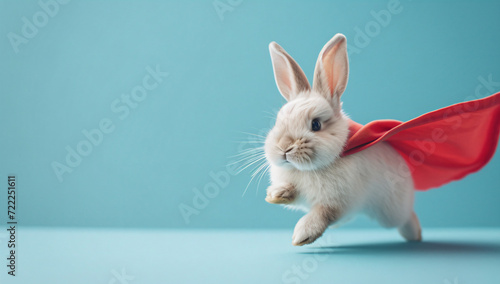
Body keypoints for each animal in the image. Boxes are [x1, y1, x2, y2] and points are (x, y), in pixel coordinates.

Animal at [264, 33, 420, 246]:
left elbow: (323, 213)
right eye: (278, 121)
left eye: (316, 125)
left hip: (392, 212)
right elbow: (292, 191)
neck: (309, 169)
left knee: (406, 217)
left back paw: (416, 235)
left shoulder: (338, 202)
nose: (284, 148)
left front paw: (303, 234)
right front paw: (275, 193)